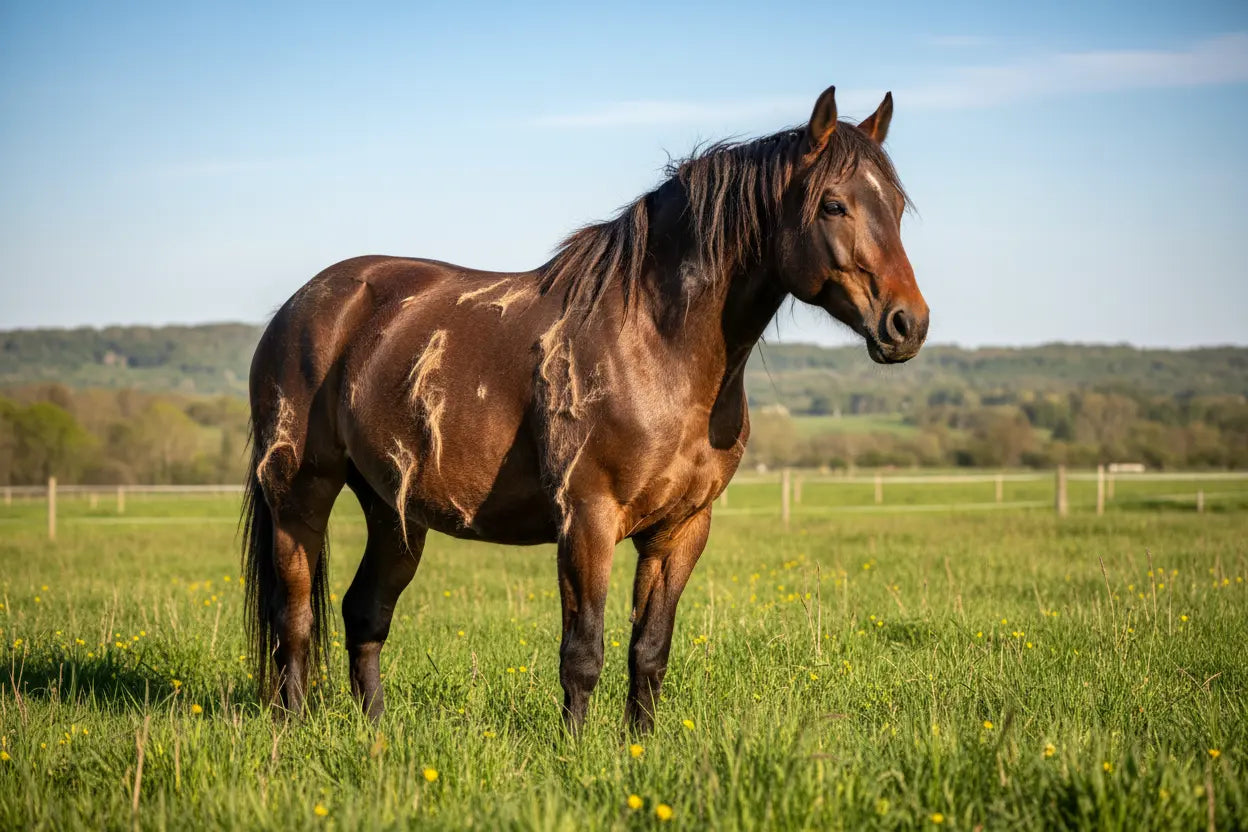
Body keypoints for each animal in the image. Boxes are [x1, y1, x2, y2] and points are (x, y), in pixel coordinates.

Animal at [241, 84, 929, 733]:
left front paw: (636, 747)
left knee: (365, 613)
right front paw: (574, 752)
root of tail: (302, 306)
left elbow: (649, 651)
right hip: (301, 495)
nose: (908, 324)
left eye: (896, 208)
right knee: (294, 617)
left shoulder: (681, 530)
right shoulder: (587, 520)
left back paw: (378, 735)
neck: (654, 346)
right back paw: (292, 730)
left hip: (394, 510)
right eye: (834, 205)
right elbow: (583, 653)